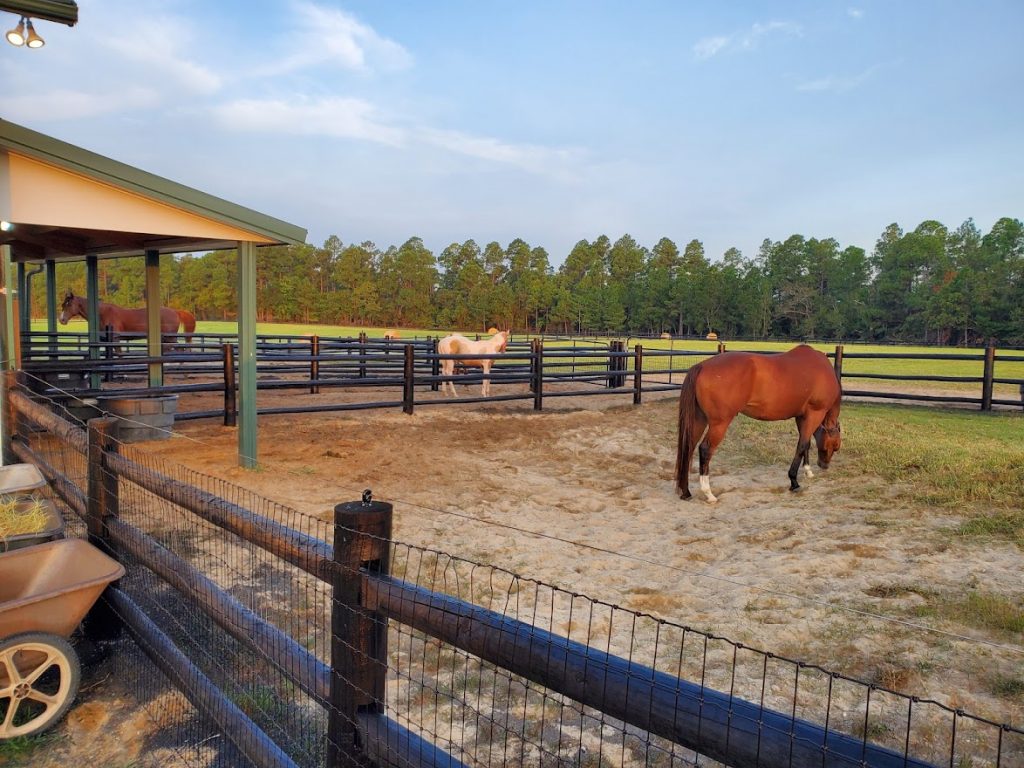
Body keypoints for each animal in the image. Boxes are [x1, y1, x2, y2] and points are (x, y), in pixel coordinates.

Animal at [675, 344, 842, 503]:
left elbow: (805, 443)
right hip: (719, 424)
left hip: (699, 420)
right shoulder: (814, 414)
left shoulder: (801, 416)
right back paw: (708, 494)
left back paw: (685, 492)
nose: (824, 465)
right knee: (705, 449)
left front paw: (808, 471)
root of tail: (702, 366)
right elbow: (801, 445)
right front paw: (794, 482)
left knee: (688, 447)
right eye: (834, 446)